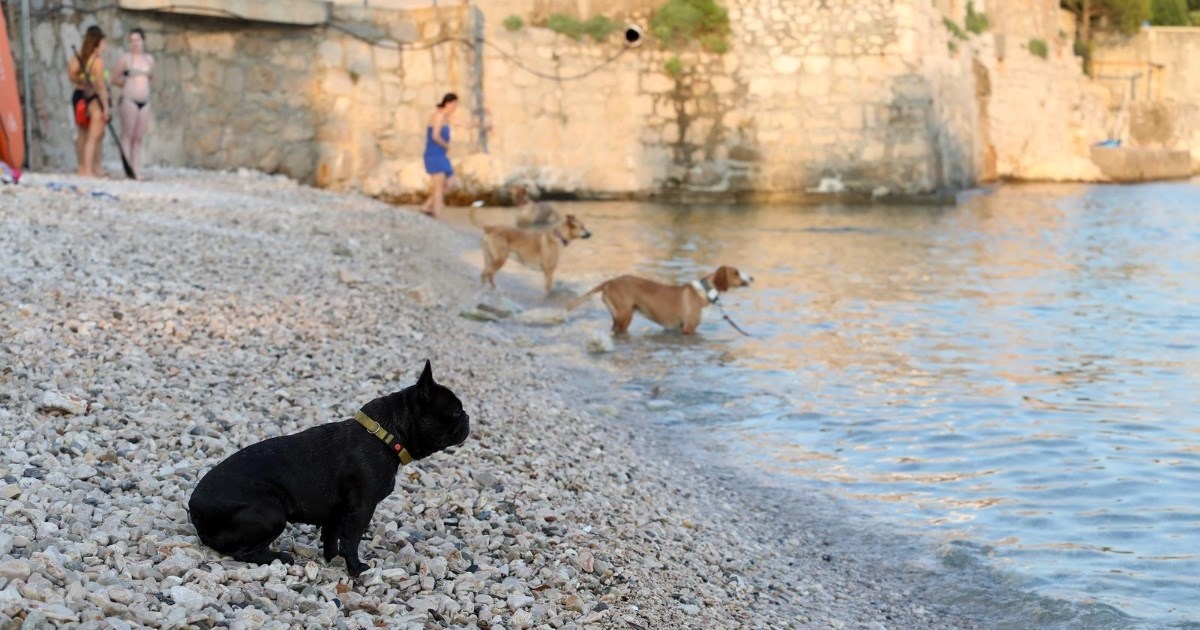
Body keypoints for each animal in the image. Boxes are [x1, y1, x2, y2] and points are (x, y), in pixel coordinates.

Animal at [187, 357, 468, 573]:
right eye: (455, 412)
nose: (467, 417)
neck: (385, 436)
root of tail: (195, 508)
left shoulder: (339, 510)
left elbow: (332, 536)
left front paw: (332, 559)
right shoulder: (362, 507)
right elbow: (351, 539)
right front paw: (356, 568)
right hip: (271, 514)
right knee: (242, 551)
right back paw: (277, 557)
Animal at [568, 265, 753, 333]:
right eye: (736, 272)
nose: (752, 278)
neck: (705, 291)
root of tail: (610, 282)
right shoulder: (688, 329)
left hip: (618, 318)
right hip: (624, 317)